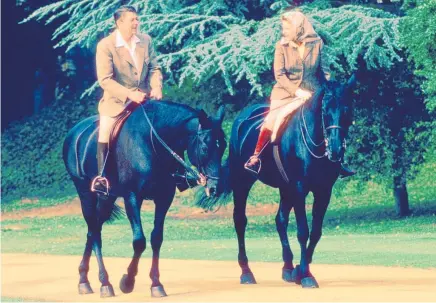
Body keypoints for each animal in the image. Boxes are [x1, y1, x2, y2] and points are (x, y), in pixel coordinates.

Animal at [63, 101, 227, 298]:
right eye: (204, 148)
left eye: (223, 145)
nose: (216, 188)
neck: (153, 142)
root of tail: (75, 131)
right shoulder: (132, 197)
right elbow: (139, 241)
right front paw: (127, 281)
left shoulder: (164, 198)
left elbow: (156, 238)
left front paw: (156, 284)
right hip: (86, 193)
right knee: (94, 232)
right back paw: (105, 283)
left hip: (106, 198)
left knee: (93, 230)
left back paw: (84, 280)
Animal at [215, 76, 354, 290]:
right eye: (325, 110)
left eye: (347, 109)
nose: (336, 149)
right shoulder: (299, 188)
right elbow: (303, 231)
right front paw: (306, 276)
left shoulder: (323, 191)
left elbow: (316, 232)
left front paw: (300, 270)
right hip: (243, 182)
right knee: (240, 220)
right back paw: (246, 271)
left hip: (285, 188)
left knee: (280, 220)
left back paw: (288, 267)